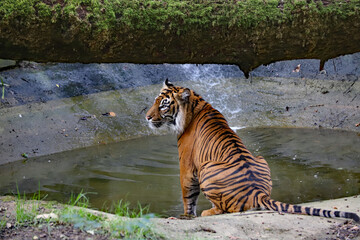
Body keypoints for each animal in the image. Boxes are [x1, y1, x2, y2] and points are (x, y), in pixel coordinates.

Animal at [145, 79, 358, 222]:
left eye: (163, 106)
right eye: (155, 101)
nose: (147, 117)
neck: (195, 105)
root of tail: (258, 192)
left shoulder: (187, 166)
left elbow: (188, 196)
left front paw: (186, 215)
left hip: (207, 169)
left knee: (223, 209)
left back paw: (208, 212)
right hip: (260, 158)